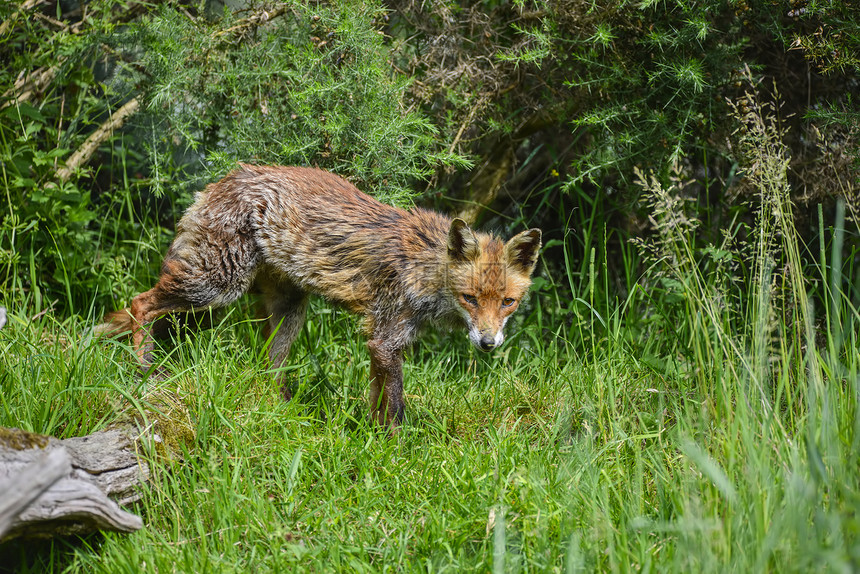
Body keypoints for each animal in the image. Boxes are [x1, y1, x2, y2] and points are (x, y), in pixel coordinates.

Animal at [97, 164, 540, 430]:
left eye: (507, 303)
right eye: (470, 298)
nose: (488, 343)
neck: (425, 268)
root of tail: (222, 180)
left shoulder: (382, 342)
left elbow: (377, 399)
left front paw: (373, 439)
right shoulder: (386, 336)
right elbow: (396, 406)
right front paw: (398, 449)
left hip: (287, 311)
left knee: (267, 367)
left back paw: (281, 410)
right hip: (215, 285)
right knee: (139, 304)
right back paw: (143, 371)